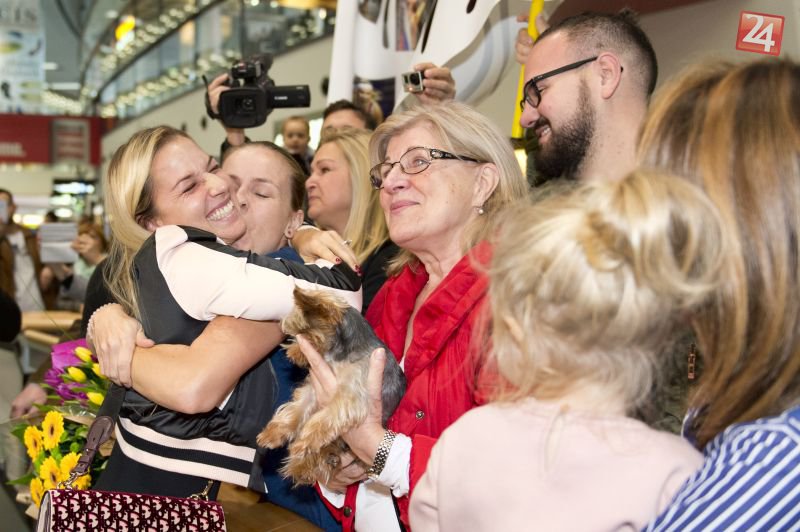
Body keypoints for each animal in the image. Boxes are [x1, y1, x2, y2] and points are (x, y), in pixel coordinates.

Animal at [256, 287, 406, 486]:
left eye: (303, 333)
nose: (290, 354)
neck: (339, 354)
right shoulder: (314, 389)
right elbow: (297, 409)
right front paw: (274, 433)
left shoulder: (350, 395)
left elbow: (325, 417)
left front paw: (304, 441)